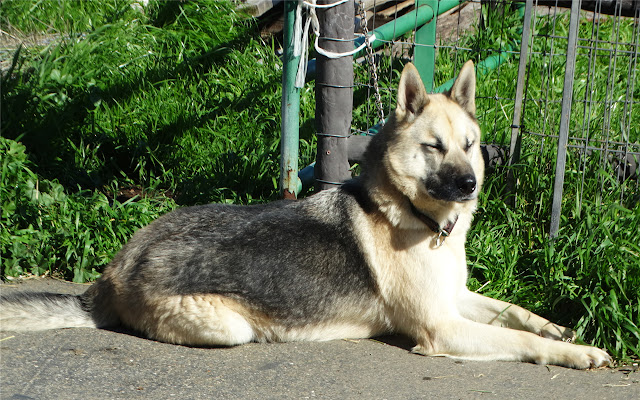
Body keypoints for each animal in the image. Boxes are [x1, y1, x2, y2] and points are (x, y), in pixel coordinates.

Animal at [0, 61, 608, 370]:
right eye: (434, 147)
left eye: (469, 145)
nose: (469, 185)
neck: (411, 215)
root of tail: (112, 273)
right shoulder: (442, 327)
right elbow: (522, 341)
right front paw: (574, 352)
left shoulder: (457, 298)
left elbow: (517, 312)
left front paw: (563, 327)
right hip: (231, 327)